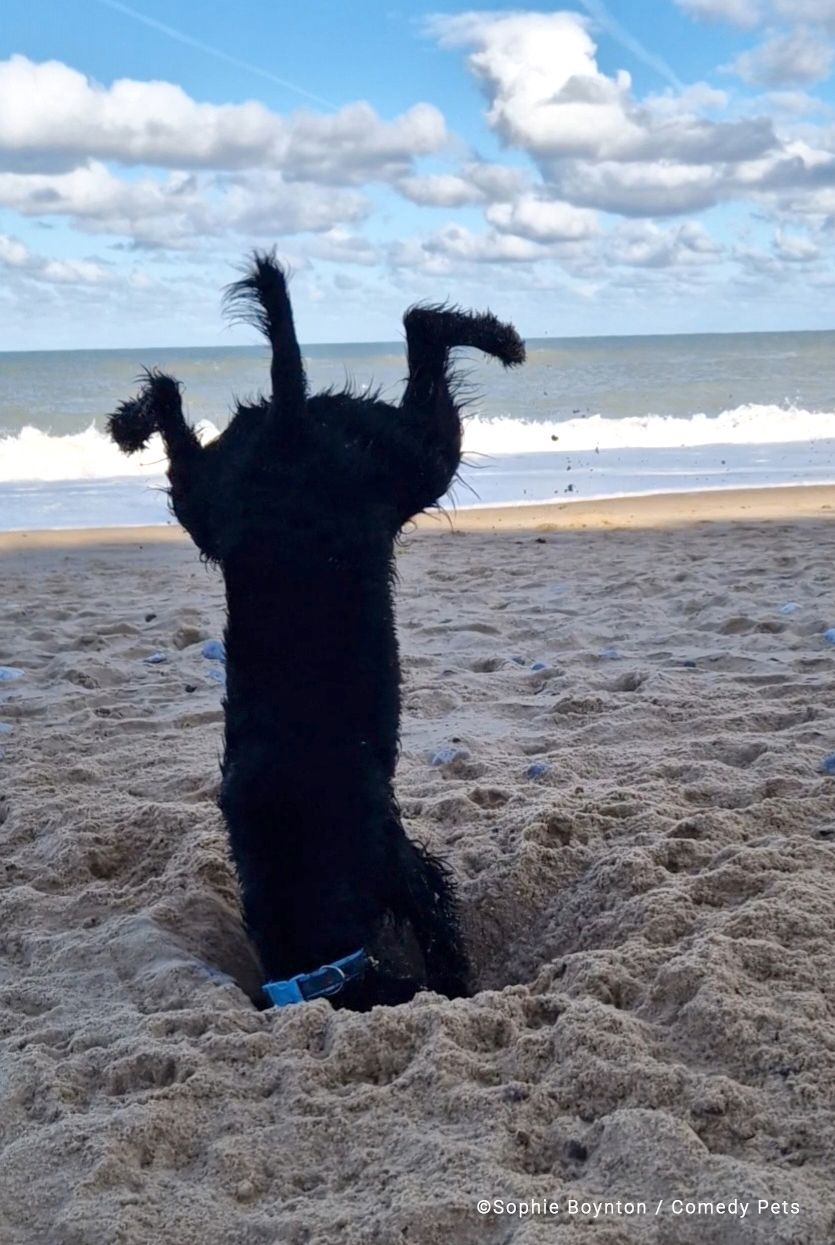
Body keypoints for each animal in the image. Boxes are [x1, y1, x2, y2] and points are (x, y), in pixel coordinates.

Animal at [104, 252, 522, 1010]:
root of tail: (289, 427)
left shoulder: (399, 863)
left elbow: (439, 924)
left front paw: (456, 988)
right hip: (232, 494)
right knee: (174, 397)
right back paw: (128, 424)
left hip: (402, 465)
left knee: (422, 330)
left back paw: (503, 340)